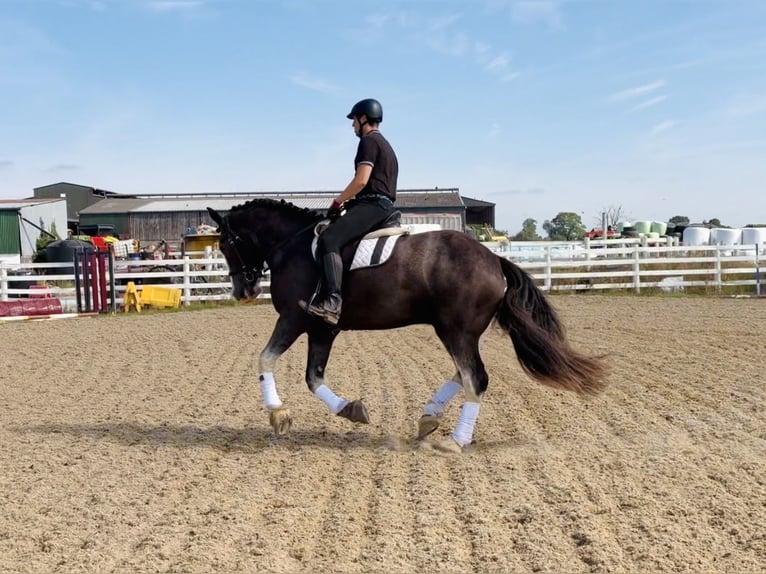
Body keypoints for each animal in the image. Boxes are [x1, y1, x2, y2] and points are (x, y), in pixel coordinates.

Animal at [207, 199, 607, 453]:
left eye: (225, 243)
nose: (243, 290)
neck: (294, 247)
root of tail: (493, 259)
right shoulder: (323, 328)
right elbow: (313, 378)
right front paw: (351, 410)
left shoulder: (293, 318)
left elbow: (265, 359)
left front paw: (278, 414)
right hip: (459, 331)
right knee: (464, 375)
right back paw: (430, 416)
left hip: (455, 331)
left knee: (475, 378)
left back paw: (455, 441)